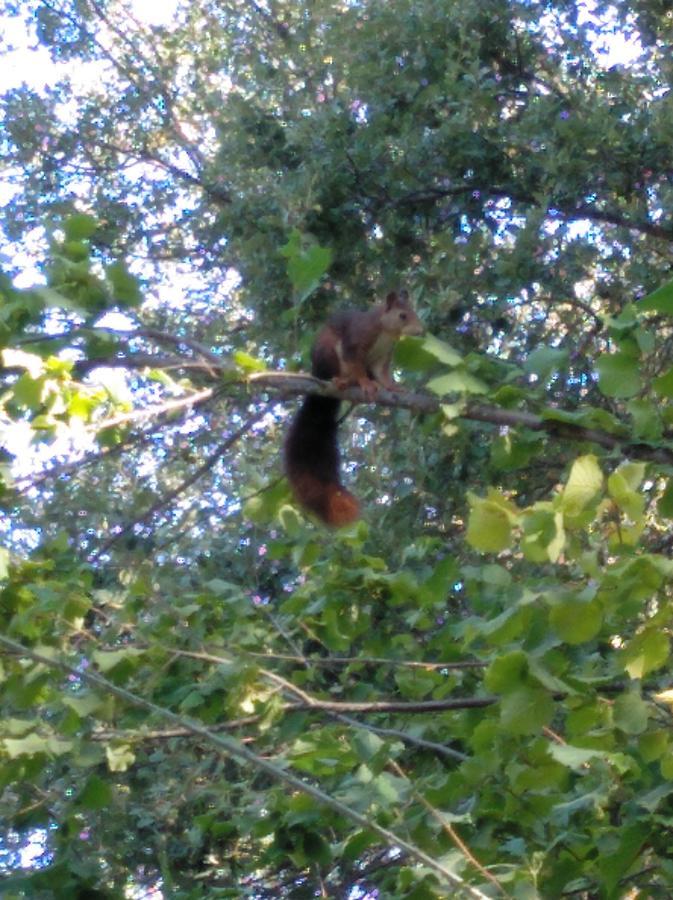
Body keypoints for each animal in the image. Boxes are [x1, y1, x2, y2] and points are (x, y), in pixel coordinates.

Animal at [284, 288, 422, 528]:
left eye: (413, 310)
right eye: (403, 315)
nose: (422, 331)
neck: (386, 332)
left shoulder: (382, 357)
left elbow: (383, 375)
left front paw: (394, 386)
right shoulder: (356, 341)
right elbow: (356, 364)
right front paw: (365, 383)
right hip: (328, 354)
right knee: (340, 372)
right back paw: (343, 382)